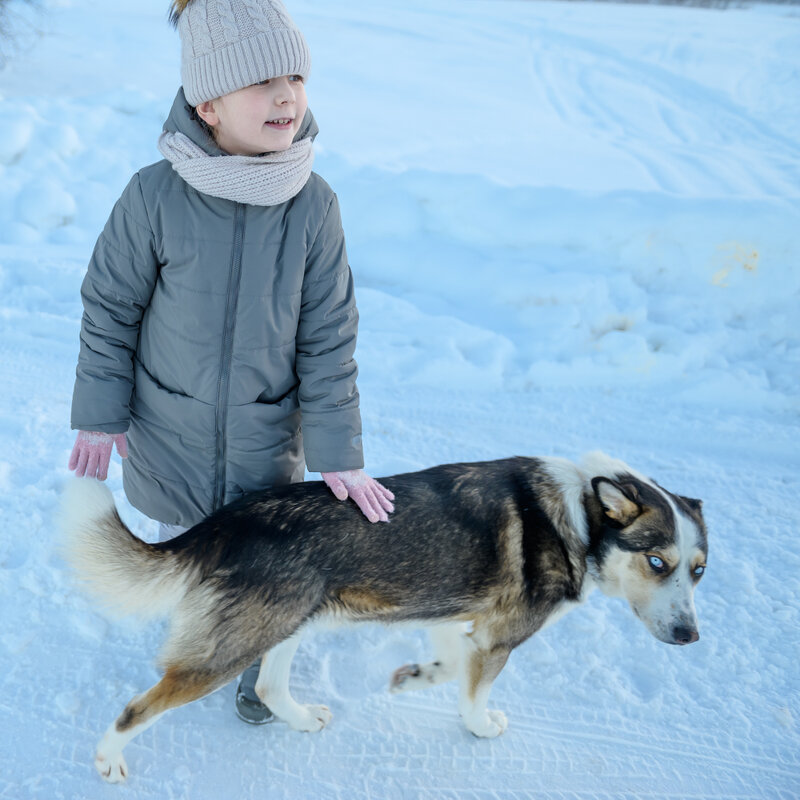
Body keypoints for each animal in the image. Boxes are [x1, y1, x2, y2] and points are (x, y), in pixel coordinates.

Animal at [61, 454, 708, 784]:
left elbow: (449, 664)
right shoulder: (498, 637)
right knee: (138, 707)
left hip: (292, 623)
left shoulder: (454, 613)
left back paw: (302, 719)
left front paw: (413, 678)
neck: (579, 510)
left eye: (698, 571)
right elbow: (473, 694)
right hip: (233, 647)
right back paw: (108, 758)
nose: (689, 636)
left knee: (269, 688)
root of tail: (234, 517)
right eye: (657, 562)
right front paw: (479, 727)